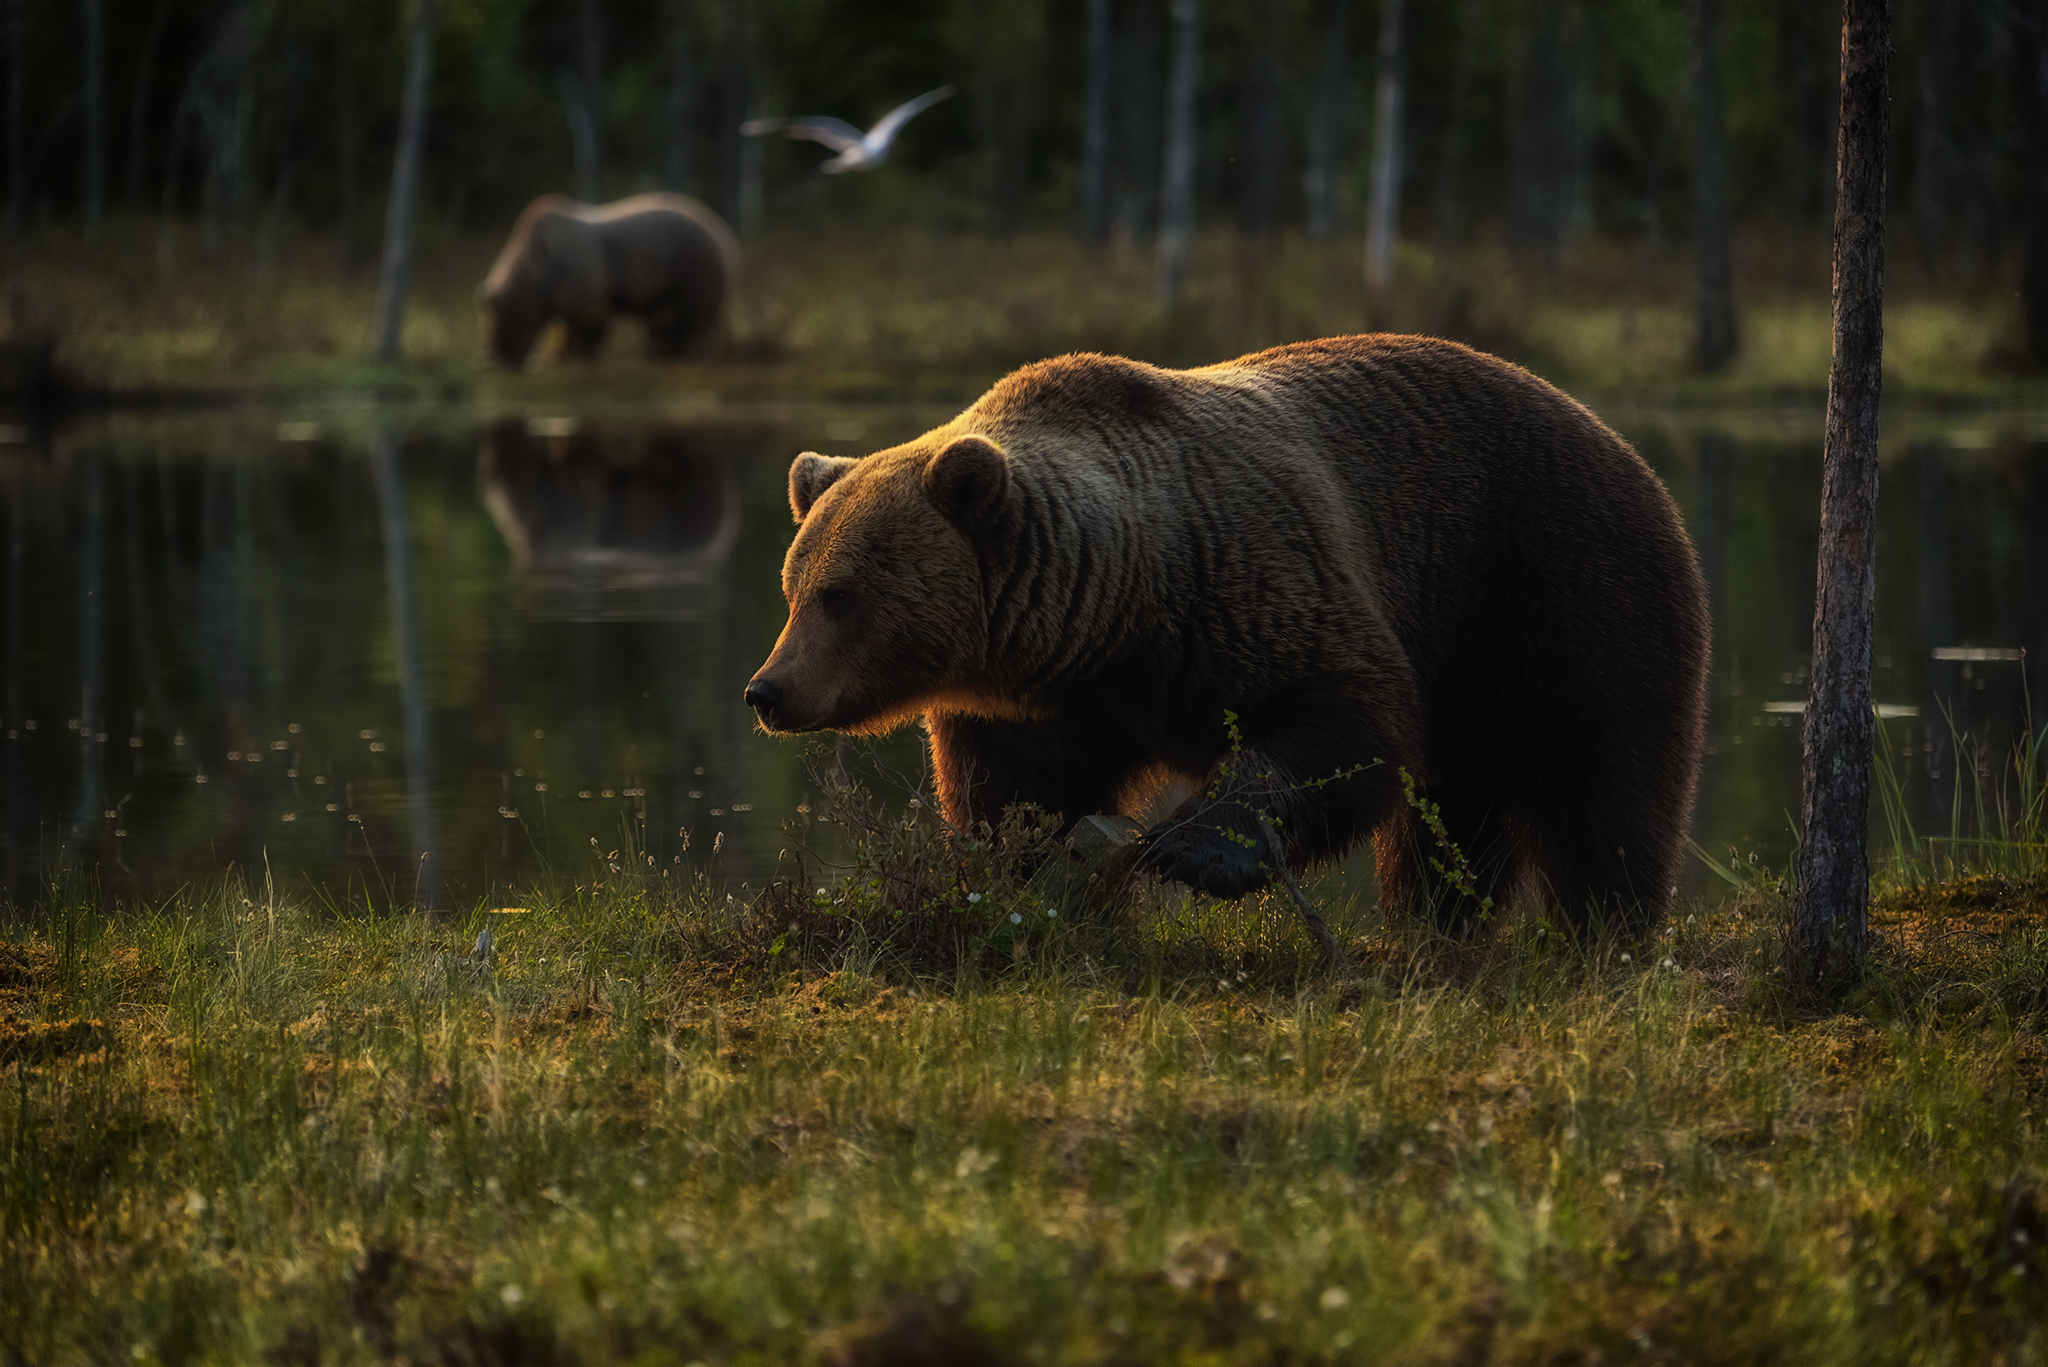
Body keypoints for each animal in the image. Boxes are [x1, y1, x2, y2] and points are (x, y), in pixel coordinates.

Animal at [478, 192, 739, 366]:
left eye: (503, 329)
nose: (497, 355)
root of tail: (724, 232)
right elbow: (569, 328)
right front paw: (560, 354)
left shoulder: (581, 276)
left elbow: (589, 324)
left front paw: (576, 354)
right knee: (666, 324)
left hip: (691, 266)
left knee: (687, 323)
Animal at [744, 335, 1710, 932]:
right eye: (793, 587)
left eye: (842, 595)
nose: (768, 689)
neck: (1122, 604)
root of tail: (1622, 441)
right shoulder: (1045, 698)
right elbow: (1016, 795)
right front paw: (1010, 870)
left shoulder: (1255, 583)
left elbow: (1345, 718)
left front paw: (1193, 849)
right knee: (1453, 817)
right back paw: (1438, 921)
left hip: (1561, 581)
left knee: (1606, 778)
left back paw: (1606, 927)